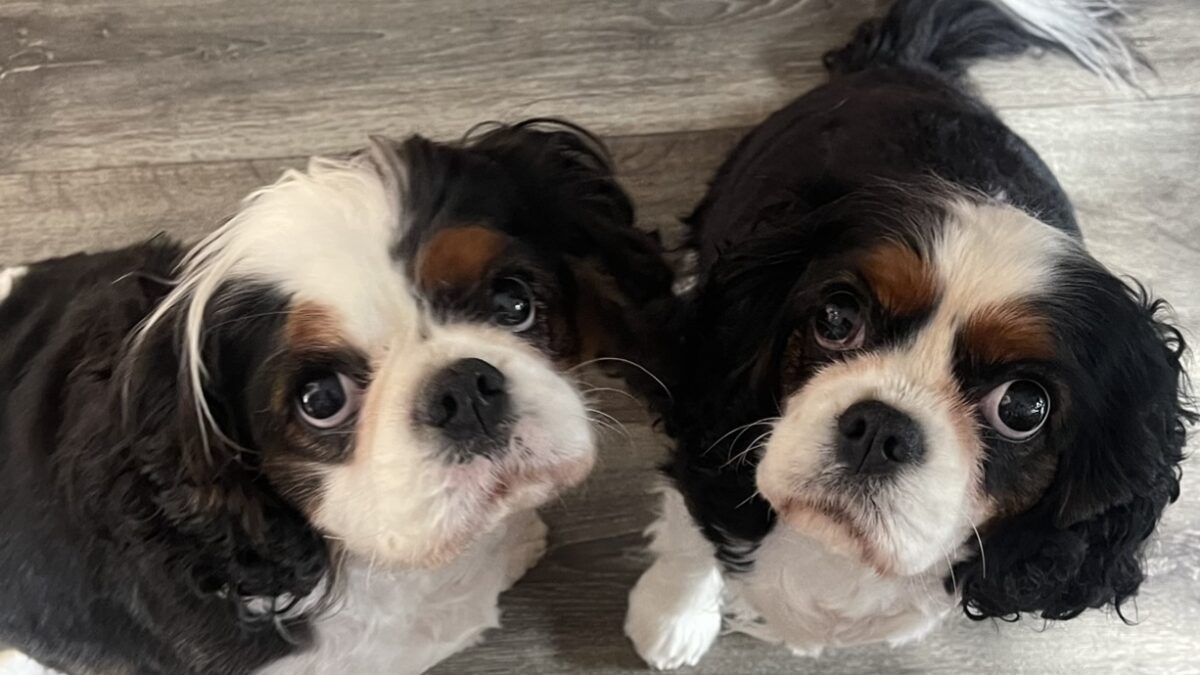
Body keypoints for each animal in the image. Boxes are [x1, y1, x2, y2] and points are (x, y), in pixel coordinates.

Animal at [628, 0, 1190, 667]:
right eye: (836, 319)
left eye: (1023, 408)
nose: (879, 428)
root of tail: (905, 63)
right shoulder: (708, 430)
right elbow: (691, 535)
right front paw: (671, 618)